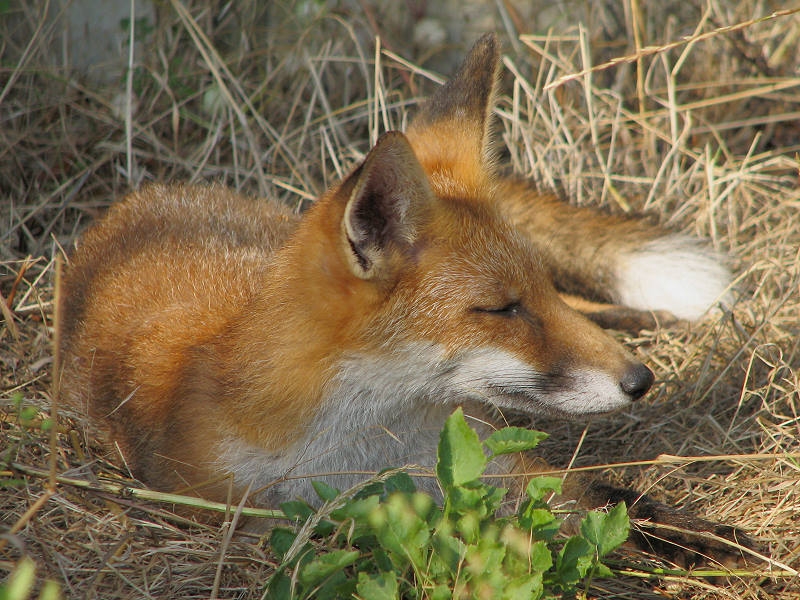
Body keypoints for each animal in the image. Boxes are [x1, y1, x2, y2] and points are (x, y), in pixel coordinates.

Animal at [58, 34, 752, 564]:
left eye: (539, 293)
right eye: (501, 310)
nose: (640, 380)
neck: (371, 451)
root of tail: (138, 202)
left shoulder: (488, 465)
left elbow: (610, 500)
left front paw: (696, 535)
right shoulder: (272, 508)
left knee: (602, 311)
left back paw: (656, 318)